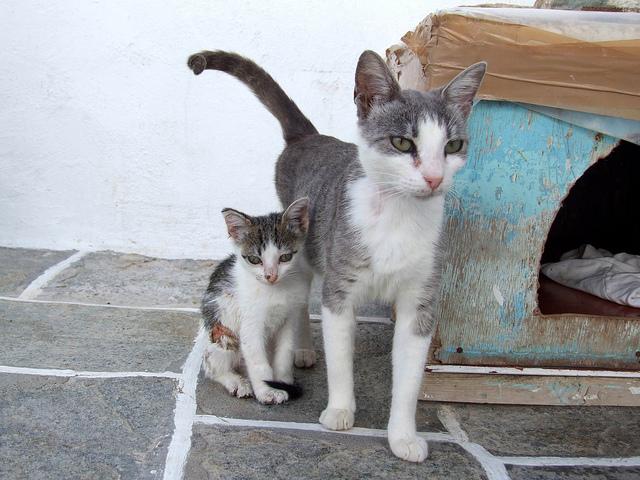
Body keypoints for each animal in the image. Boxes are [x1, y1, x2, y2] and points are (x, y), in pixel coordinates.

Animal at [200, 198, 310, 404]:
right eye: (254, 259)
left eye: (285, 257)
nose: (270, 276)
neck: (275, 290)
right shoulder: (250, 323)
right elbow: (258, 360)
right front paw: (267, 391)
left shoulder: (291, 317)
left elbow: (284, 354)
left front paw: (283, 382)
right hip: (222, 332)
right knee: (212, 367)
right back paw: (237, 382)